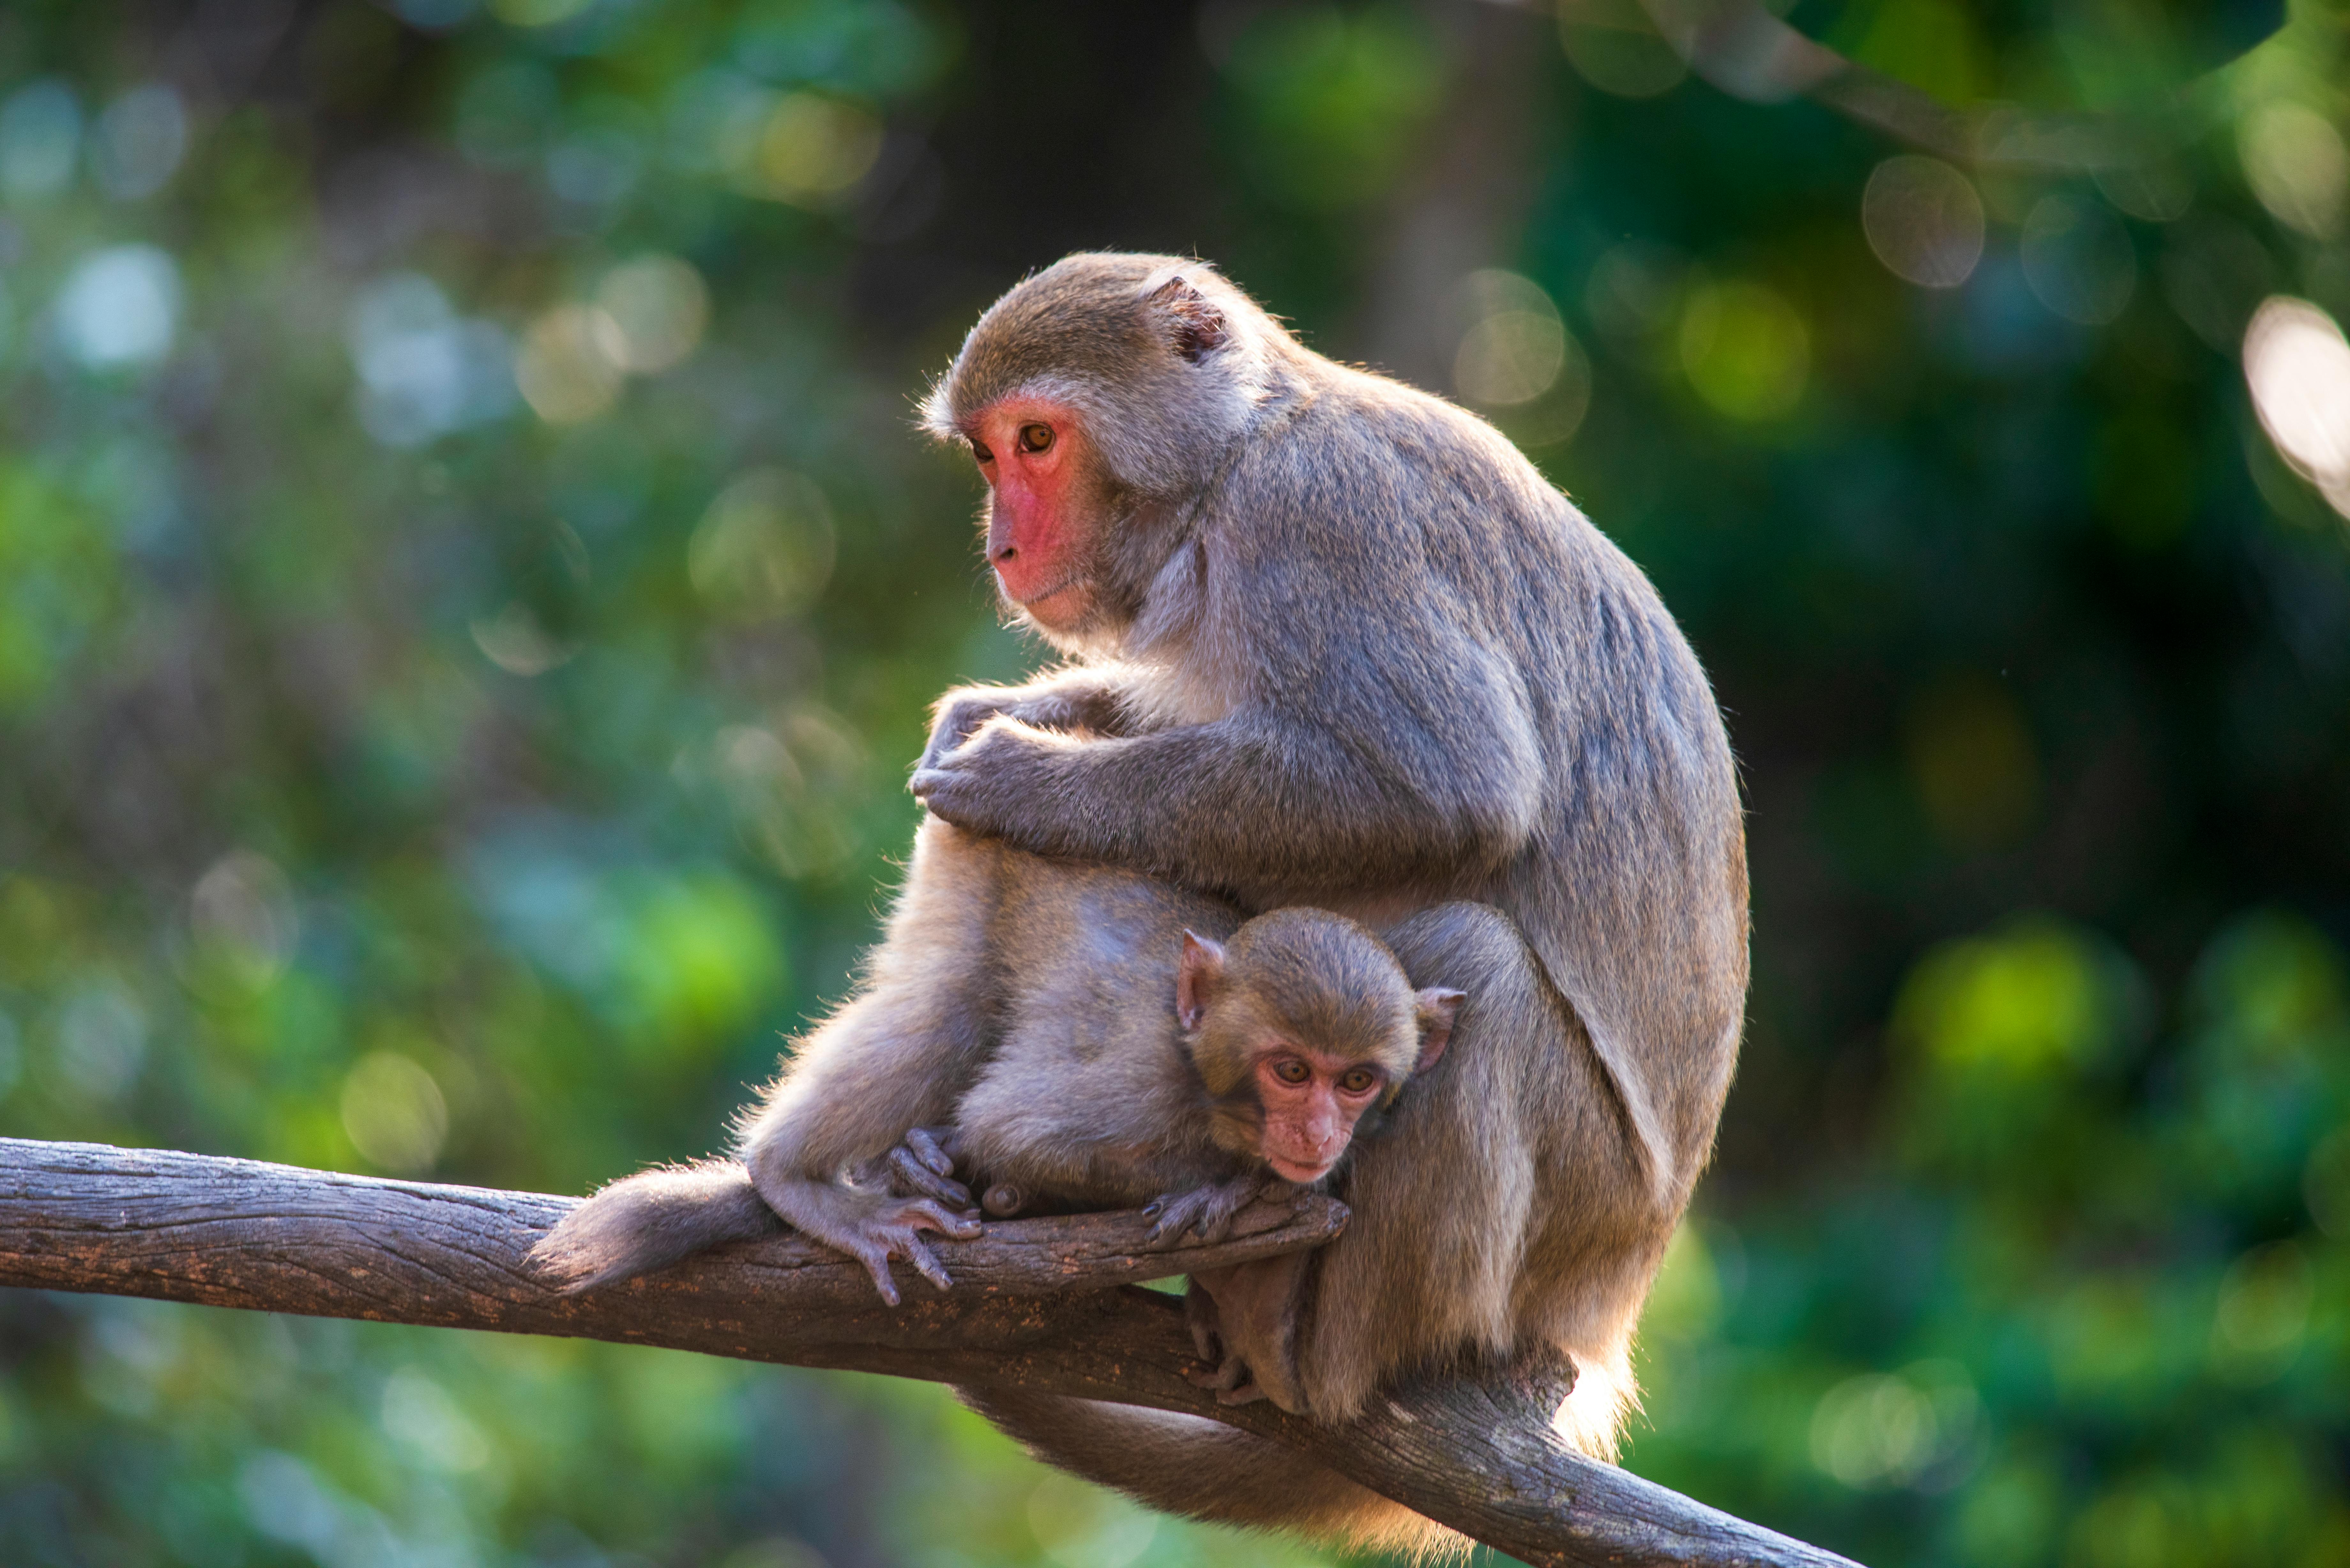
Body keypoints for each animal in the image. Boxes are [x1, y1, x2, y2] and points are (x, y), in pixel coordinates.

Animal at [533, 818, 1457, 1363]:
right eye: (1292, 1071)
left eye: (1357, 1081)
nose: (1318, 1133)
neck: (1210, 1085)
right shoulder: (1138, 1084)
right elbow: (1013, 1127)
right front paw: (1224, 1187)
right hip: (971, 862)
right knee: (945, 1008)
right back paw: (795, 1176)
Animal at [912, 251, 1748, 1551]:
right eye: (989, 455)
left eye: (1037, 441)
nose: (1002, 545)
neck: (1231, 466)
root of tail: (1611, 1301)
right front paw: (1016, 712)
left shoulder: (1314, 529)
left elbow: (1445, 788)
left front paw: (1022, 778)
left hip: (1574, 1221)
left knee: (1473, 950)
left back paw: (1312, 1351)